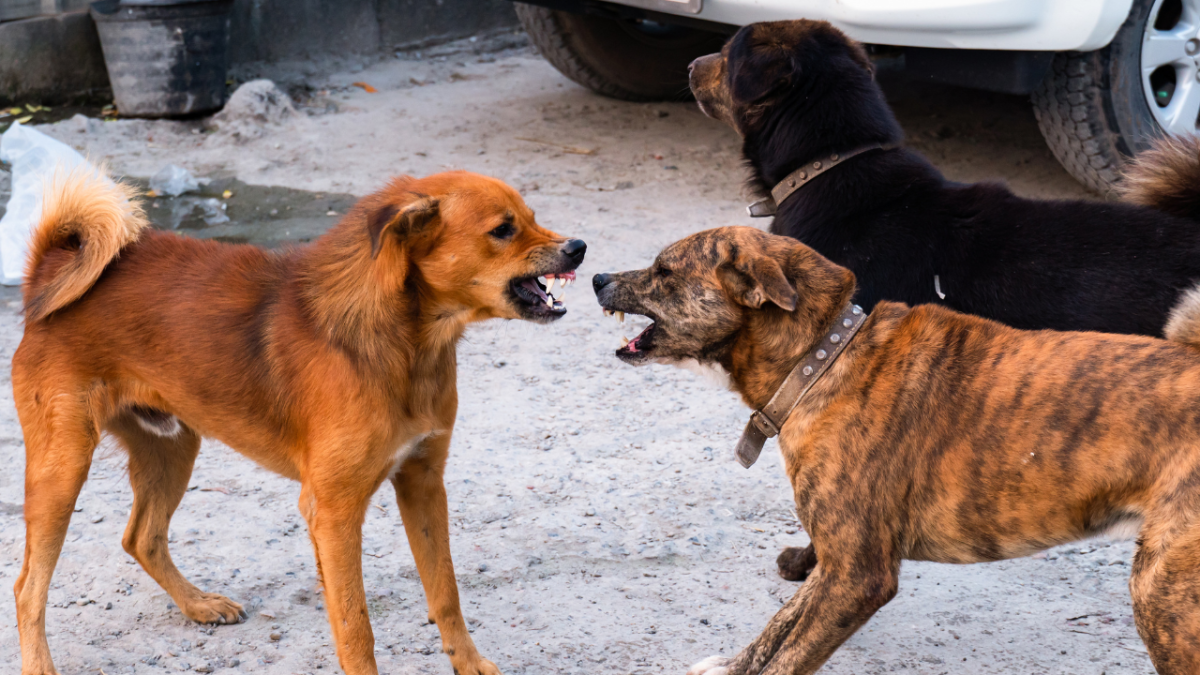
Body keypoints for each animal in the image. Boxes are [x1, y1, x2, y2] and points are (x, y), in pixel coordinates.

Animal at [12, 165, 585, 667]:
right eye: (503, 229)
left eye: (532, 216)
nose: (579, 247)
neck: (405, 341)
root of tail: (45, 276)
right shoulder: (332, 511)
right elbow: (355, 625)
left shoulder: (423, 483)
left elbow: (445, 594)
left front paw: (472, 666)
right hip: (63, 470)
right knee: (27, 590)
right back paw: (41, 664)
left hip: (172, 447)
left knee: (141, 537)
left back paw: (199, 605)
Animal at [595, 225, 1200, 672]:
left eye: (663, 272)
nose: (598, 276)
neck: (823, 361)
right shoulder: (836, 561)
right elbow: (780, 624)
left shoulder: (859, 577)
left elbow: (790, 656)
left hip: (1161, 596)